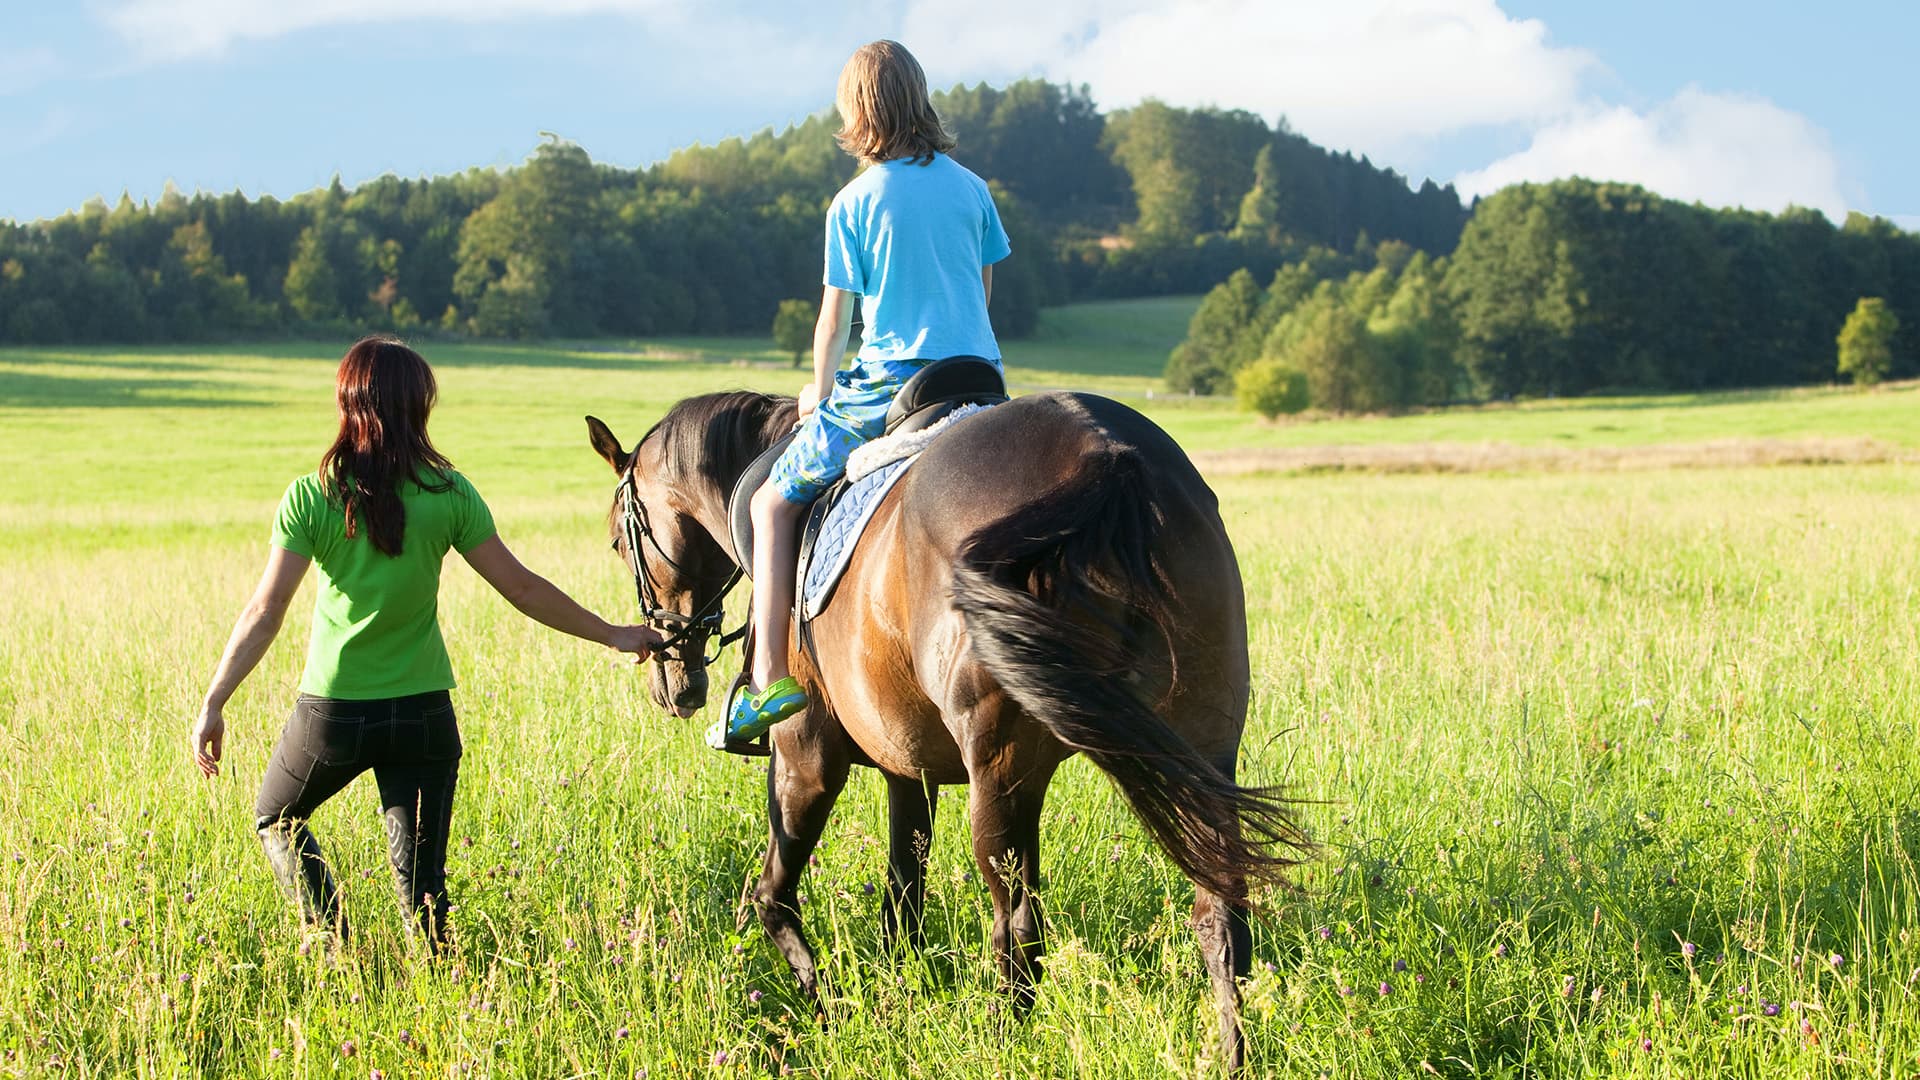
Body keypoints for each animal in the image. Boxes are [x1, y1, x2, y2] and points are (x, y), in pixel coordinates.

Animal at [583, 388, 1305, 1068]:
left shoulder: (804, 758)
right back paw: (1231, 1056)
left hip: (1001, 774)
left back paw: (1003, 1046)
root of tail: (1107, 456)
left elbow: (773, 896)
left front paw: (828, 1010)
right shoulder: (912, 771)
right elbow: (901, 902)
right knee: (1220, 919)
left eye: (619, 540)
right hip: (1203, 751)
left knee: (1018, 930)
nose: (674, 683)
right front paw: (894, 1004)